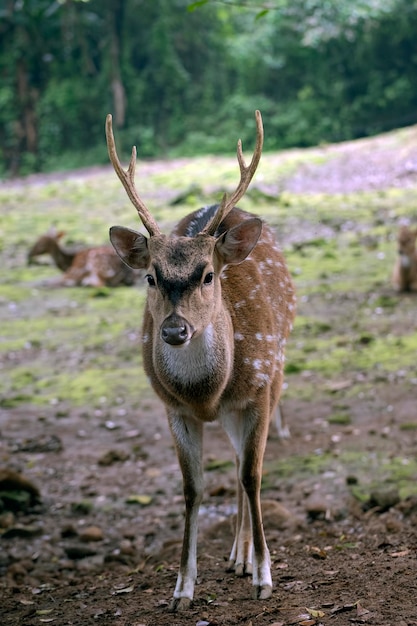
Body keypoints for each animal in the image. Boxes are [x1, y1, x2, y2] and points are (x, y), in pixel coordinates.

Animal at [107, 109, 296, 608]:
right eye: (151, 277)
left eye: (208, 275)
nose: (175, 330)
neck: (207, 394)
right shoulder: (172, 407)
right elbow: (192, 490)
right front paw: (182, 589)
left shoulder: (259, 390)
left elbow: (253, 475)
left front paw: (264, 577)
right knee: (232, 460)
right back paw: (235, 555)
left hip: (276, 372)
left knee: (245, 466)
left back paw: (244, 557)